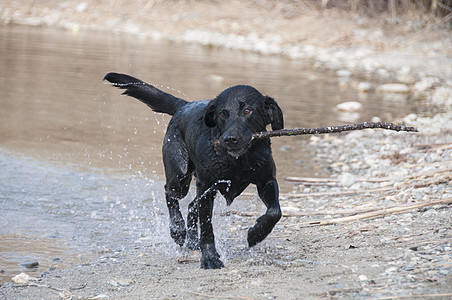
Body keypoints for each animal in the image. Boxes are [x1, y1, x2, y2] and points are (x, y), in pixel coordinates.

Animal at [104, 73, 284, 270]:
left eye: (247, 111)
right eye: (222, 114)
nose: (230, 139)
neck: (237, 161)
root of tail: (183, 106)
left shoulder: (267, 180)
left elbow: (275, 212)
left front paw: (255, 234)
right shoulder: (206, 188)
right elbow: (206, 228)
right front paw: (210, 258)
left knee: (191, 206)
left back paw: (191, 241)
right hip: (180, 176)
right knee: (170, 193)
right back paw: (177, 229)